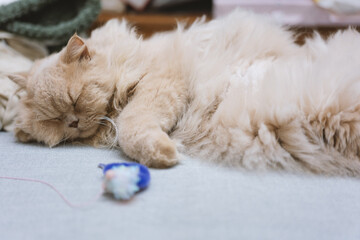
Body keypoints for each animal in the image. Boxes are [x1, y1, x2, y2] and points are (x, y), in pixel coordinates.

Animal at [8, 10, 360, 175]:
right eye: (55, 121)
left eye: (75, 100)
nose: (73, 122)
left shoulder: (161, 80)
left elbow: (132, 126)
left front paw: (161, 152)